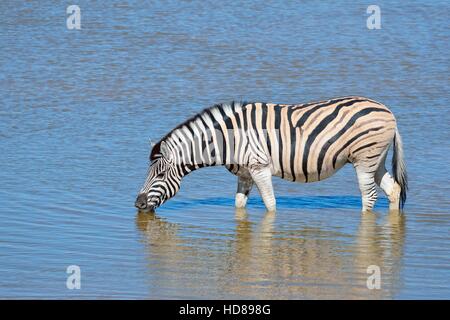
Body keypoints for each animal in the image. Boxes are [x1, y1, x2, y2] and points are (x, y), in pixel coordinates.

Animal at [134, 96, 408, 214]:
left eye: (159, 175)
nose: (138, 204)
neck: (228, 139)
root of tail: (388, 111)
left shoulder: (260, 168)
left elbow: (270, 204)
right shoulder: (244, 174)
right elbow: (239, 204)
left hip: (365, 158)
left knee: (369, 196)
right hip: (377, 160)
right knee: (393, 189)